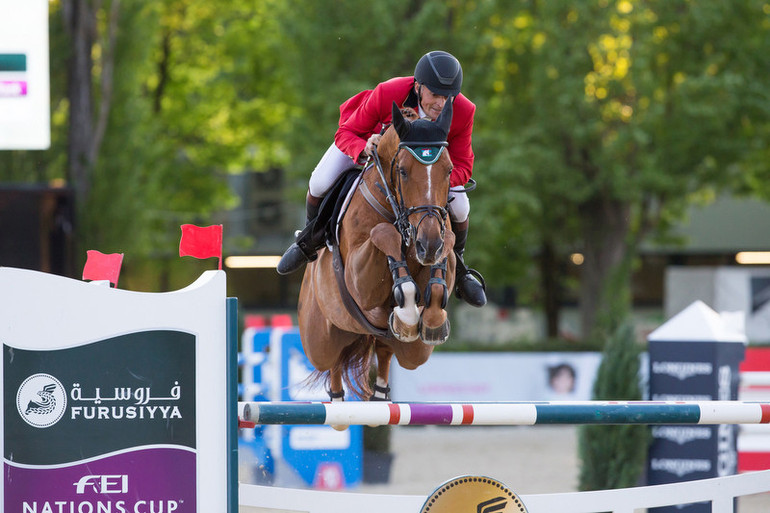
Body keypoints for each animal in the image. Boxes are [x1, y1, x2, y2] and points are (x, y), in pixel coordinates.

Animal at [298, 100, 456, 400]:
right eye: (403, 171)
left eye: (449, 170)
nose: (428, 244)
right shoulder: (360, 283)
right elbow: (383, 232)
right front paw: (407, 307)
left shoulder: (442, 244)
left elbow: (449, 245)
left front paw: (429, 319)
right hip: (319, 340)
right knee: (333, 361)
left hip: (410, 352)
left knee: (384, 351)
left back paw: (381, 391)